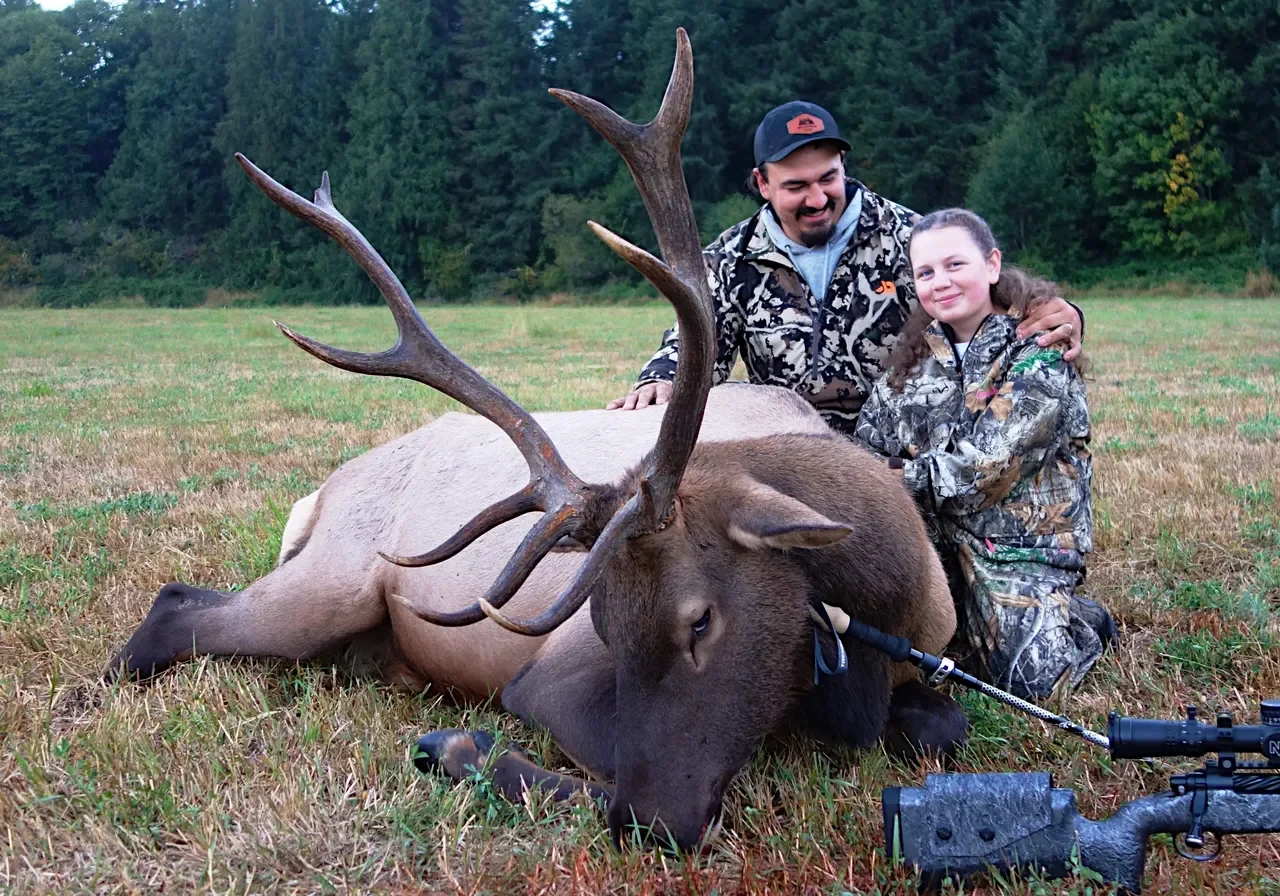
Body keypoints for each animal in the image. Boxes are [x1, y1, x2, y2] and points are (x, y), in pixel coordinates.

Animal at [108, 30, 967, 850]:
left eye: (699, 621)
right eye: (607, 627)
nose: (654, 823)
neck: (896, 602)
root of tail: (320, 494)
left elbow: (942, 727)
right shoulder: (546, 675)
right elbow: (591, 754)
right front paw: (464, 748)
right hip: (331, 583)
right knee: (181, 603)